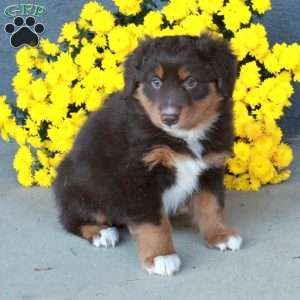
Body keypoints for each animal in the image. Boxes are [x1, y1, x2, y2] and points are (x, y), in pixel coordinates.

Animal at [53, 33, 241, 276]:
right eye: (155, 82)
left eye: (191, 82)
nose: (169, 118)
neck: (182, 137)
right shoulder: (140, 175)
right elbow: (154, 222)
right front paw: (160, 256)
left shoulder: (210, 167)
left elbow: (212, 205)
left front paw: (220, 235)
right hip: (82, 185)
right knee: (71, 219)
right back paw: (102, 233)